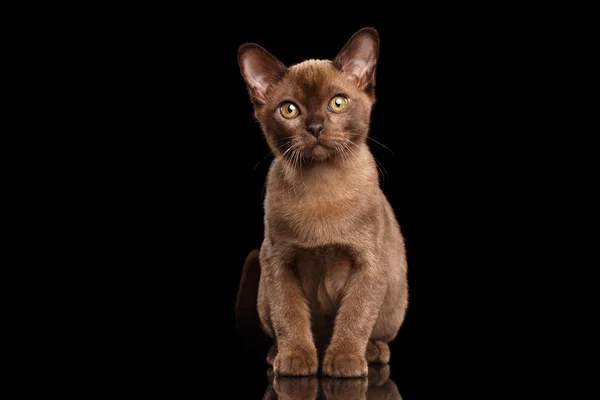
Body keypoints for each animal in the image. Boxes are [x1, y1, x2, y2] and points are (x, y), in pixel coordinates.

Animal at [234, 28, 408, 378]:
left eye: (337, 103)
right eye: (289, 110)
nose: (315, 127)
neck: (322, 187)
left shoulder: (369, 264)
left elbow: (355, 317)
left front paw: (343, 362)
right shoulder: (278, 262)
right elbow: (289, 317)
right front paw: (295, 361)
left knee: (369, 334)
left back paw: (370, 352)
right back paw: (277, 355)